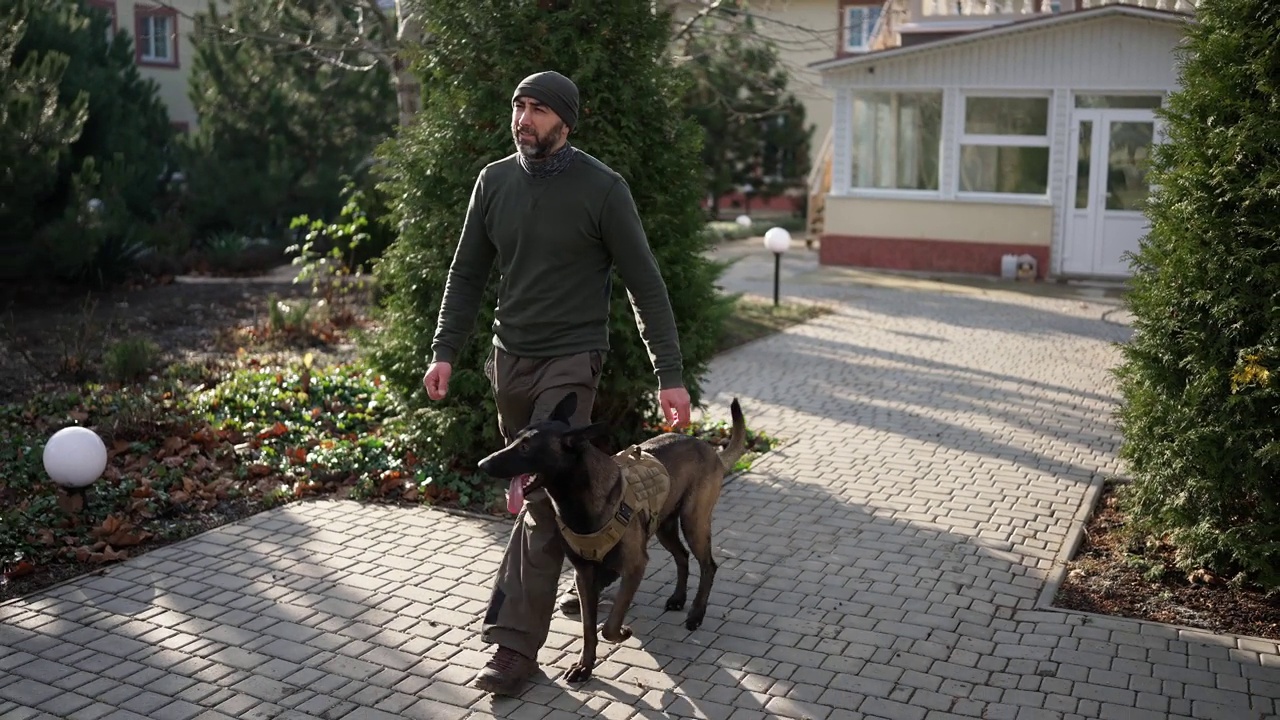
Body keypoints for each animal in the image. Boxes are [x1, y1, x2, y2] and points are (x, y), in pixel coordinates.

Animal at [476, 389, 747, 681]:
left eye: (526, 447)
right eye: (515, 440)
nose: (482, 464)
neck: (580, 502)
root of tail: (708, 447)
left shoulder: (635, 567)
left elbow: (609, 625)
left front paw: (622, 633)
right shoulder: (583, 575)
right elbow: (588, 628)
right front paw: (584, 666)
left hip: (693, 522)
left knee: (708, 565)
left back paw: (696, 614)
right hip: (665, 526)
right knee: (682, 557)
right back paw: (678, 599)